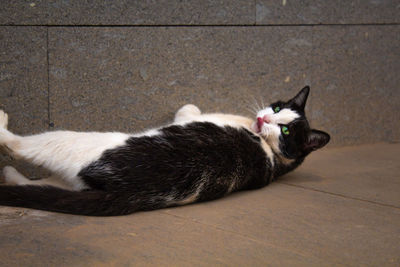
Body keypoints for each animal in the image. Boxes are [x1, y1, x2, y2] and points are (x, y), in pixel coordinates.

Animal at [0, 87, 328, 217]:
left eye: (286, 131)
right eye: (278, 109)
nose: (265, 118)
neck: (270, 152)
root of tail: (124, 194)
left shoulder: (189, 117)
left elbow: (187, 109)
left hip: (78, 144)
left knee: (21, 146)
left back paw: (4, 132)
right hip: (78, 180)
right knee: (44, 188)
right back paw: (11, 174)